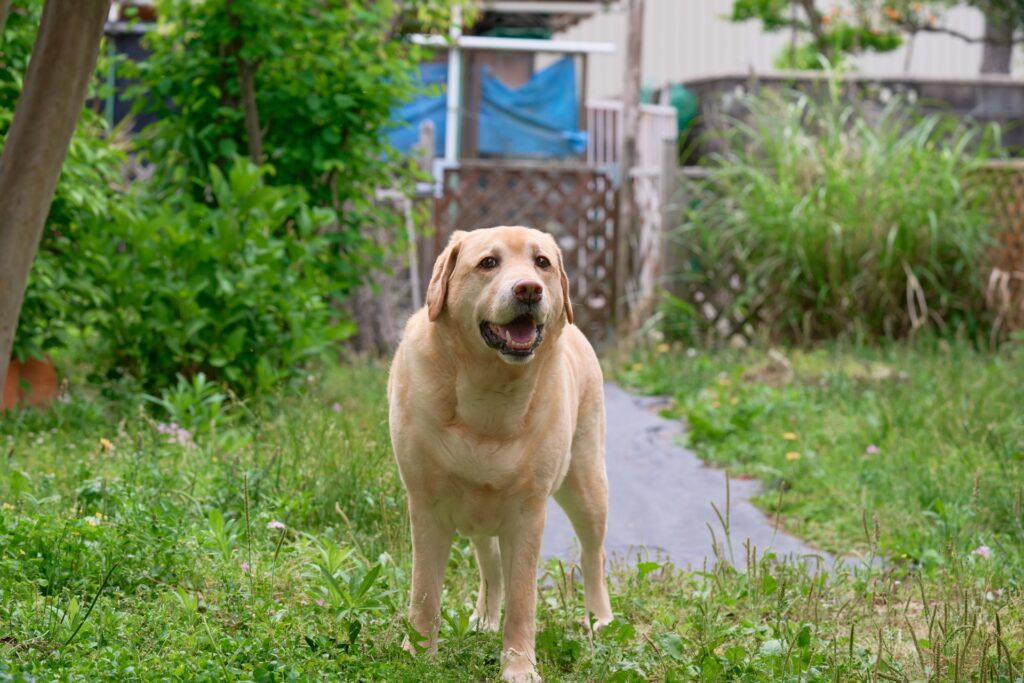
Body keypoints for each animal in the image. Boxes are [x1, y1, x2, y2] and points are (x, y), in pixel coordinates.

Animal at [385, 225, 606, 683]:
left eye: (542, 262)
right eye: (488, 262)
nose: (529, 289)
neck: (490, 393)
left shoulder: (527, 516)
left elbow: (522, 603)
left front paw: (519, 668)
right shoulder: (427, 507)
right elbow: (425, 593)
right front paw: (418, 656)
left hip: (587, 485)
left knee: (594, 554)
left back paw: (600, 620)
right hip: (479, 517)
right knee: (489, 565)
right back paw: (485, 619)